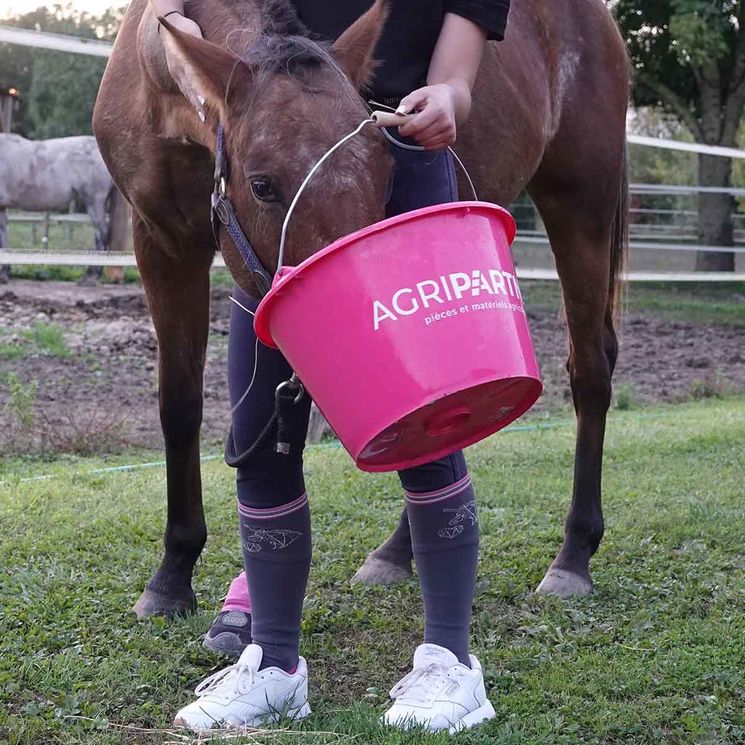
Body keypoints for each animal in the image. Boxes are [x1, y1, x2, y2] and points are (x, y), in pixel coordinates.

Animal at [93, 0, 628, 616]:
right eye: (262, 185)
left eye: (386, 169)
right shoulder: (162, 242)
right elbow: (180, 406)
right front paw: (173, 574)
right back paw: (398, 550)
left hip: (581, 208)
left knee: (589, 372)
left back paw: (574, 554)